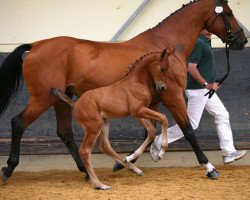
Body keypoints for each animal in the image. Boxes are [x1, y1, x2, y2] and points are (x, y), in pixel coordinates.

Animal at [50, 49, 172, 190]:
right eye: (162, 68)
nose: (163, 87)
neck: (136, 82)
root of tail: (76, 104)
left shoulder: (137, 113)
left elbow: (151, 131)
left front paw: (130, 157)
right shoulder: (138, 110)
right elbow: (164, 118)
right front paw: (160, 153)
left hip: (104, 123)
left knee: (105, 146)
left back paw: (133, 168)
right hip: (94, 127)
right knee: (85, 151)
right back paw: (99, 185)